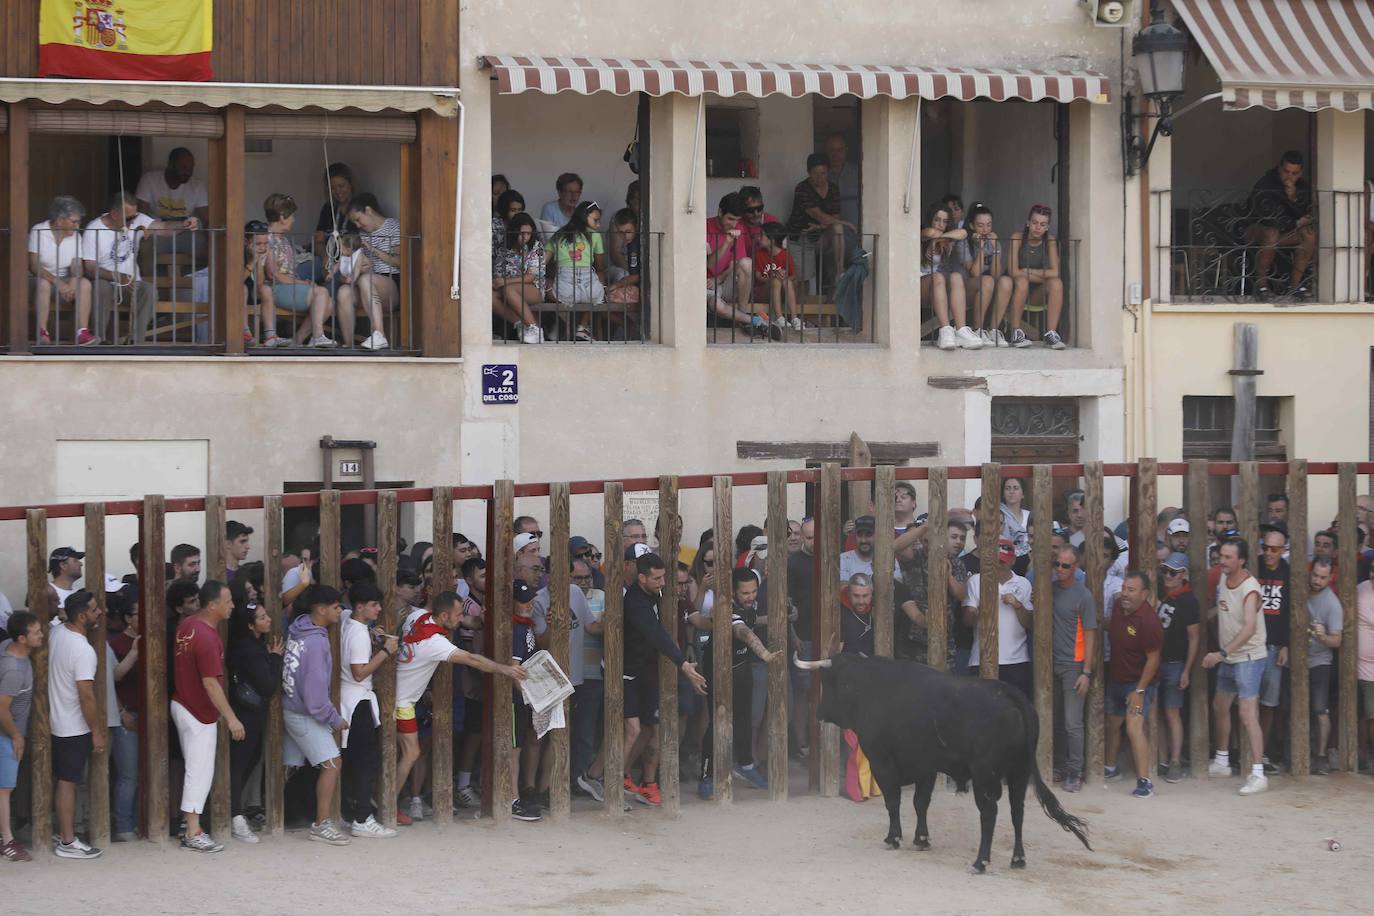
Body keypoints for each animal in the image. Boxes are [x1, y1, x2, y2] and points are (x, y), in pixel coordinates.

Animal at [802, 650, 1088, 873]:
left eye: (828, 682)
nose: (818, 713)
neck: (869, 688)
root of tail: (1009, 693)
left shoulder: (882, 762)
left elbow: (893, 801)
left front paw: (894, 838)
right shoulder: (926, 768)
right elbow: (921, 802)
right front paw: (921, 839)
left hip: (984, 774)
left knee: (989, 813)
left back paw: (980, 862)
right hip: (1019, 772)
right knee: (1017, 810)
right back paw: (1017, 859)